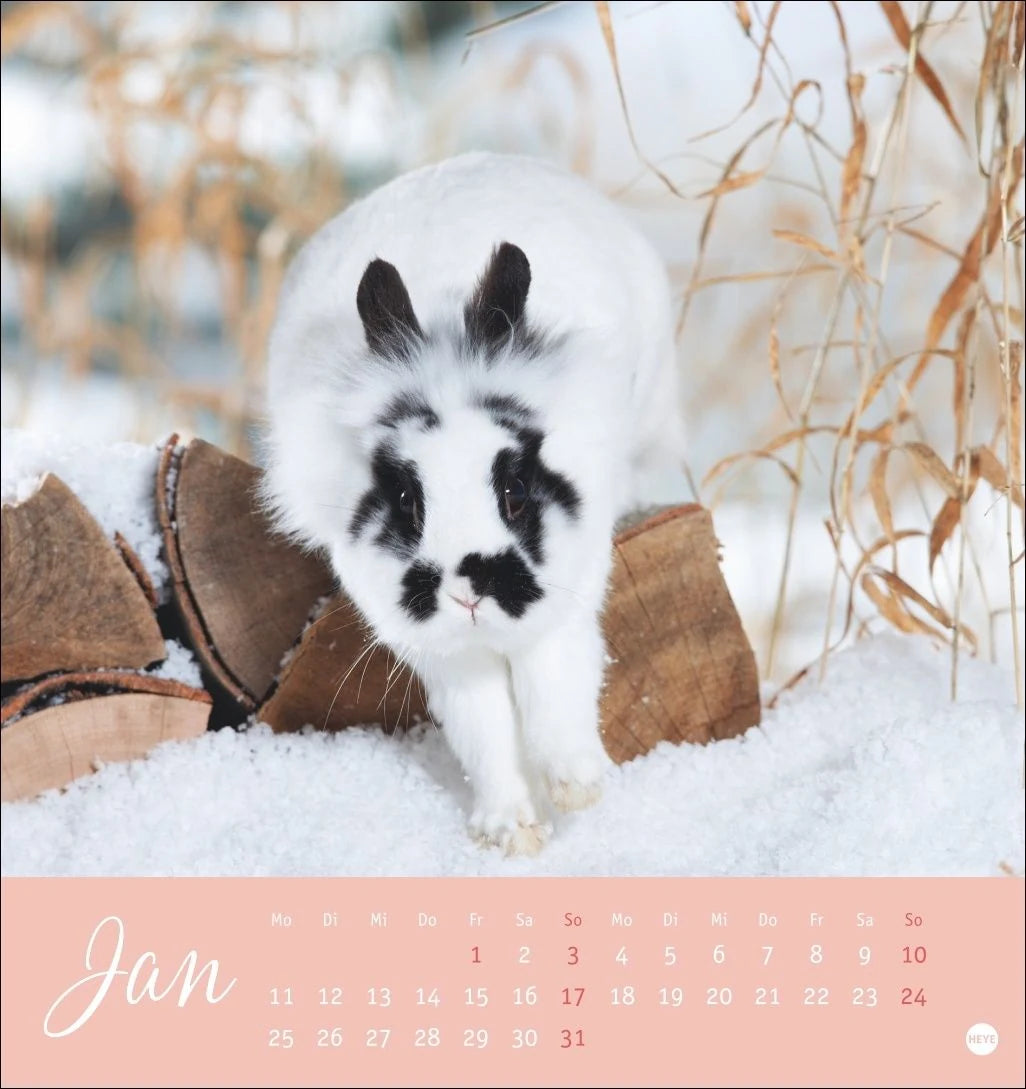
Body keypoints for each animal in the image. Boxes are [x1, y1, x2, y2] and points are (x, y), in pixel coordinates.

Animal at [263, 152, 684, 856]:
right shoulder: (446, 659)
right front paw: (513, 832)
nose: (466, 591)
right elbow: (485, 734)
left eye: (512, 491)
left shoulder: (564, 610)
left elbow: (556, 689)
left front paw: (577, 788)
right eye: (407, 499)